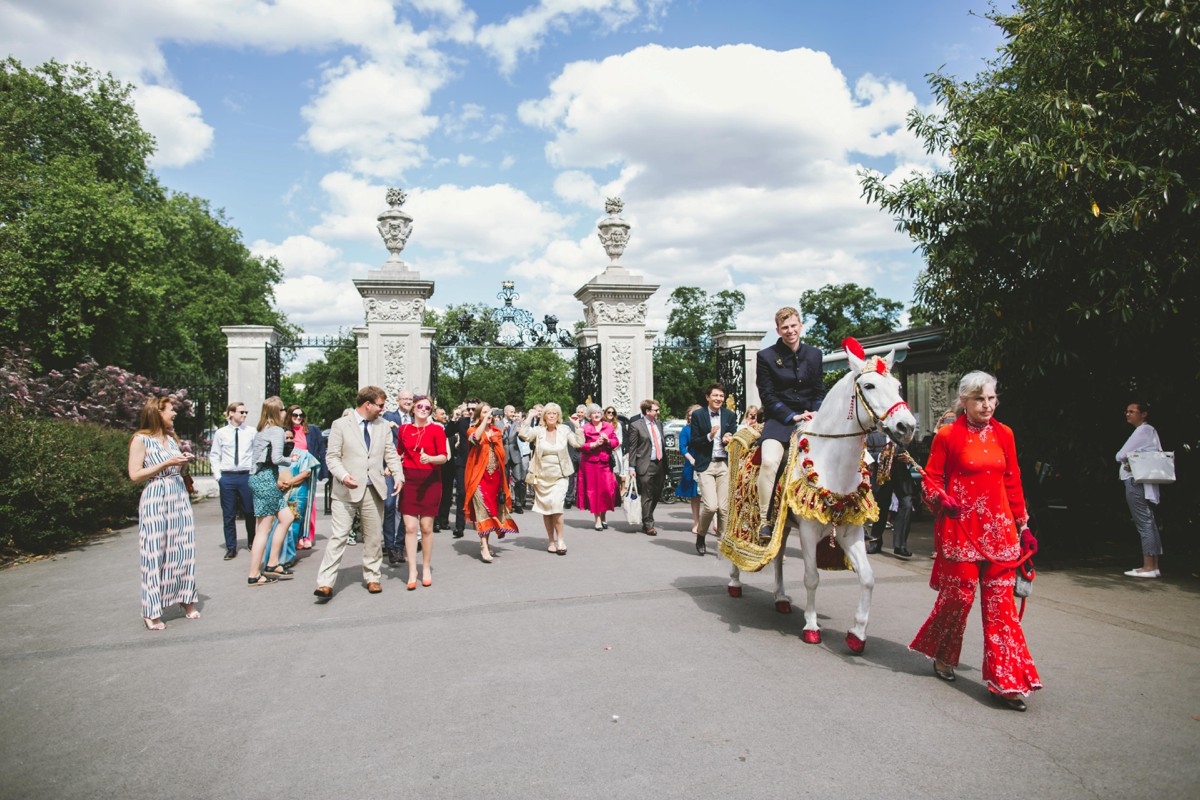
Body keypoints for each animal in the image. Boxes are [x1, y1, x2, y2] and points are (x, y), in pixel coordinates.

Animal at [724, 347, 912, 652]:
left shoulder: (851, 530)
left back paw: (781, 598)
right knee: (734, 542)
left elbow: (868, 578)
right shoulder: (809, 531)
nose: (907, 426)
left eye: (897, 386)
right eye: (869, 385)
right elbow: (812, 578)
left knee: (777, 557)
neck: (832, 463)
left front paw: (857, 634)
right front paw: (811, 627)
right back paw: (735, 581)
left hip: (783, 526)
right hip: (739, 514)